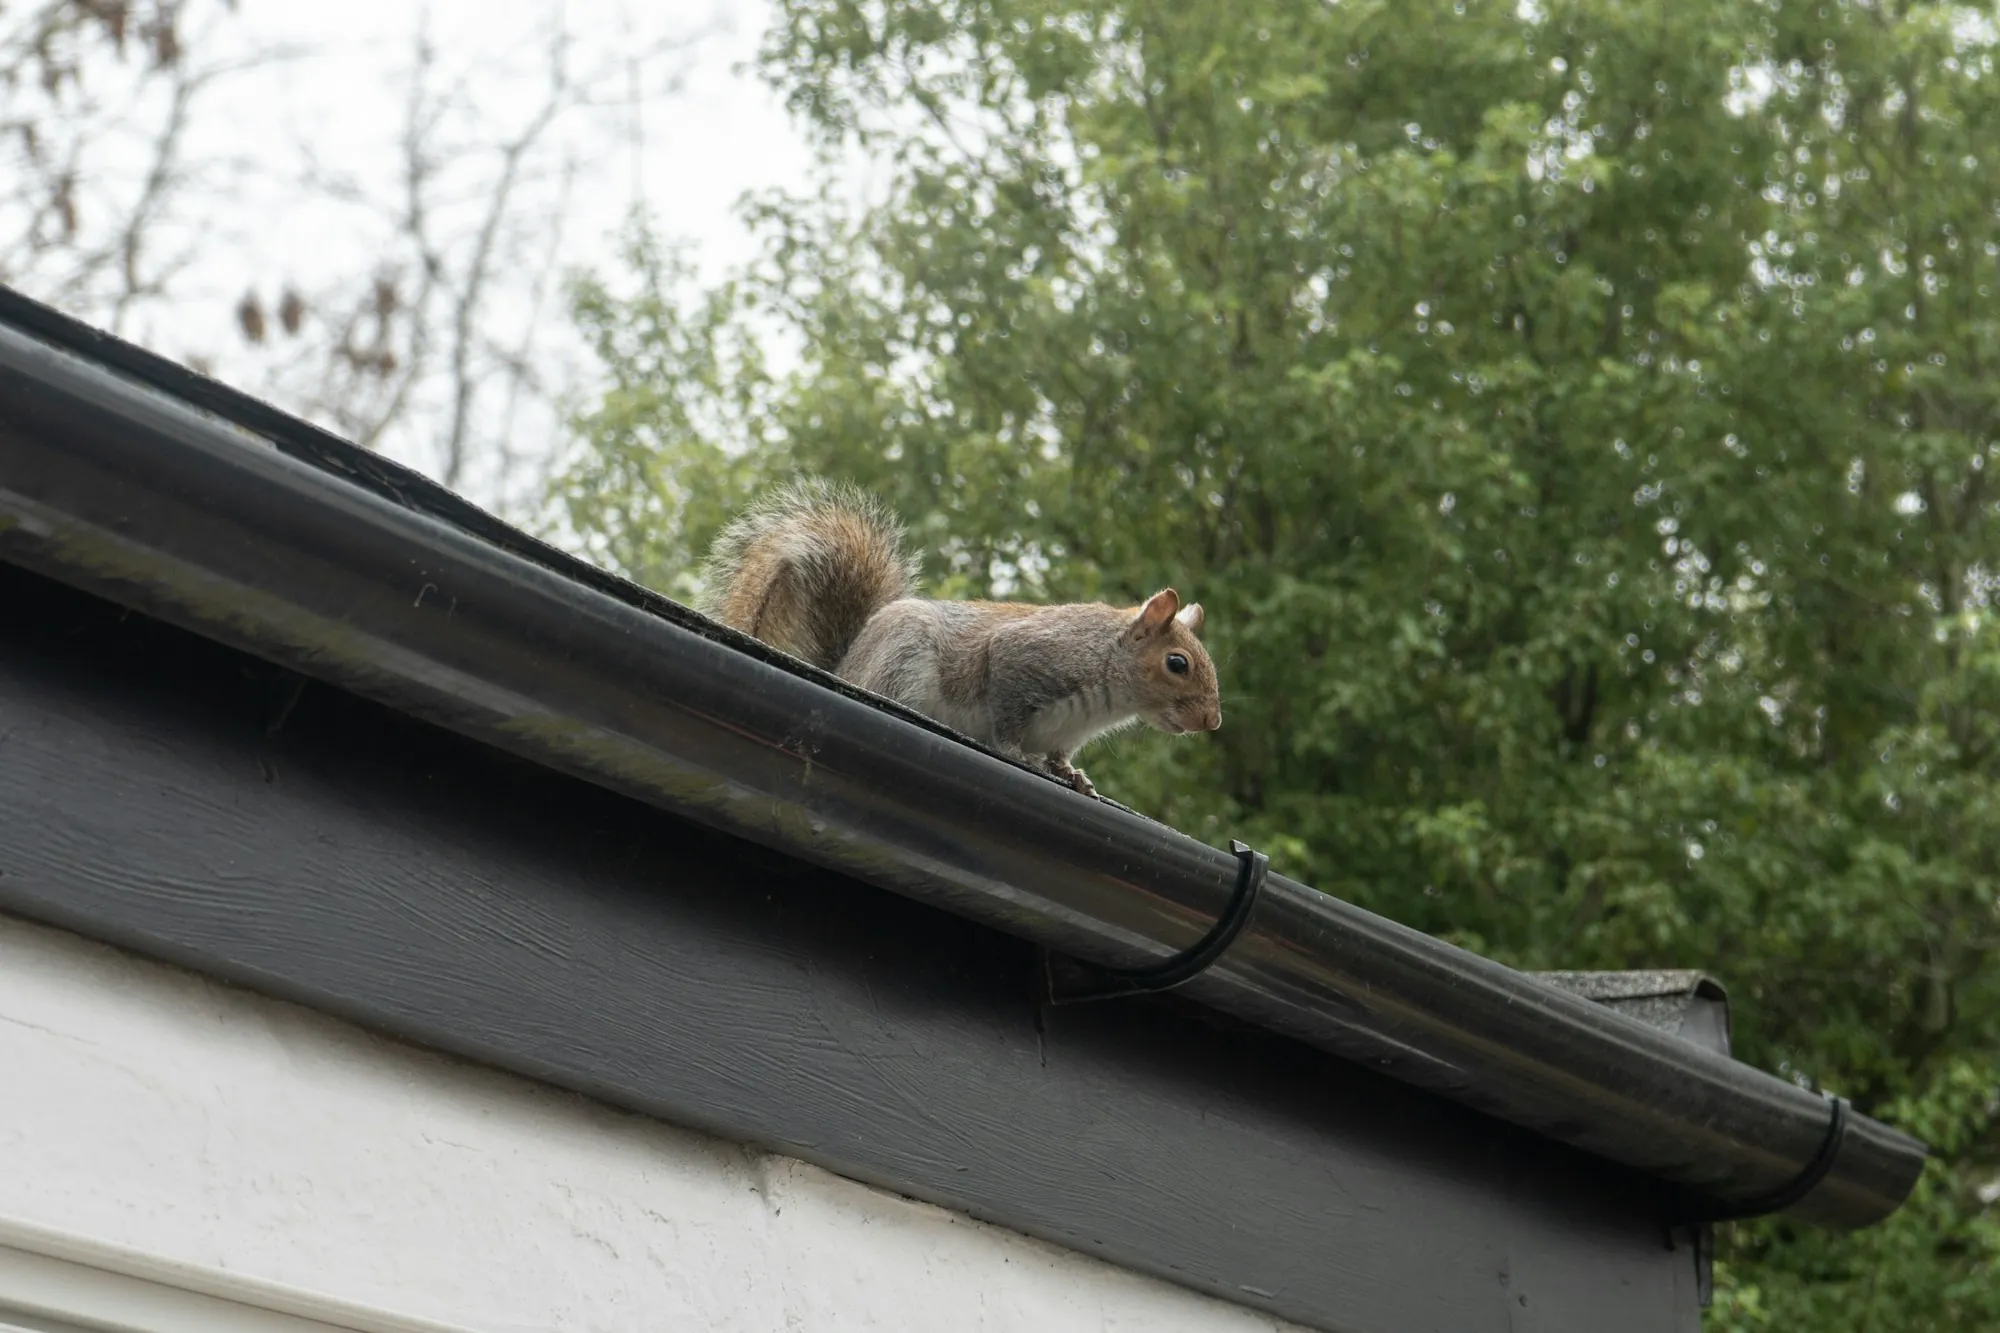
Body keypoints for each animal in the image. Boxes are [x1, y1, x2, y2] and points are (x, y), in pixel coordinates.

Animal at [698, 478, 1222, 797]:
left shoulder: (1064, 732)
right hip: (904, 660)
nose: (1211, 722)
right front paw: (1016, 752)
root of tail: (845, 667)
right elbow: (1008, 717)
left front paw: (1073, 774)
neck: (1108, 694)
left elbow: (1059, 755)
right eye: (1178, 663)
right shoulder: (1030, 658)